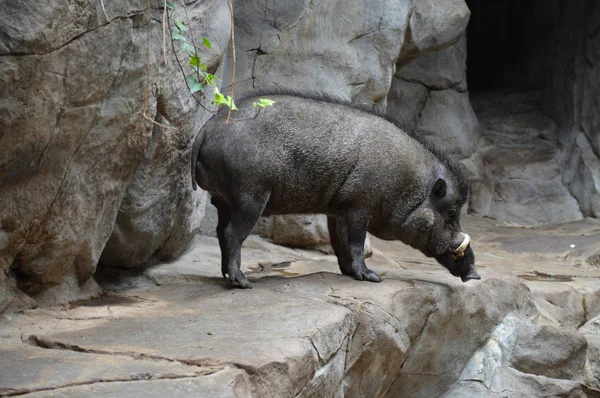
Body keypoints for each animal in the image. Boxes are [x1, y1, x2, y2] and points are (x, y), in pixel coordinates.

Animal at [190, 91, 480, 288]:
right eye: (451, 213)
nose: (475, 274)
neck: (406, 184)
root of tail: (206, 129)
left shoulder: (338, 209)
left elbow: (340, 242)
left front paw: (350, 273)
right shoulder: (359, 205)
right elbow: (356, 243)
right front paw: (371, 277)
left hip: (222, 199)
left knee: (220, 231)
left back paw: (227, 276)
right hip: (249, 196)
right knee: (231, 234)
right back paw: (243, 282)